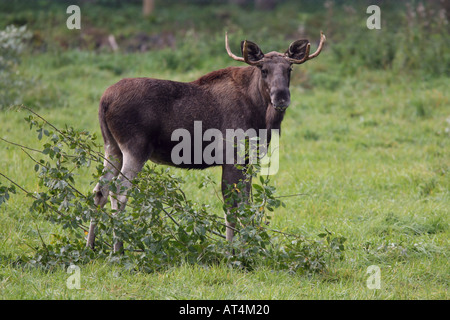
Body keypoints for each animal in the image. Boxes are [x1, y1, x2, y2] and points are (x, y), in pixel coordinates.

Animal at [86, 32, 326, 252]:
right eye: (263, 70)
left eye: (289, 69)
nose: (281, 97)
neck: (261, 117)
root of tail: (104, 101)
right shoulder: (232, 158)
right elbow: (231, 206)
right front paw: (231, 250)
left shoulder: (248, 161)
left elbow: (246, 205)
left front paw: (248, 247)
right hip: (135, 148)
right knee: (119, 191)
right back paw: (118, 248)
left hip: (112, 147)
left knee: (100, 190)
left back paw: (91, 246)